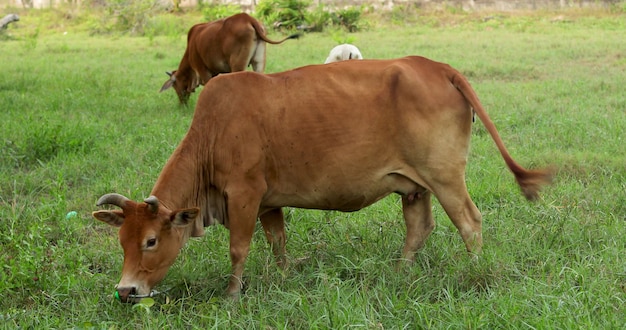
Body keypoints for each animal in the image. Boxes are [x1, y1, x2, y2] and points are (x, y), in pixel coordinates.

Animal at [94, 56, 552, 302]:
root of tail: (438, 67)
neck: (213, 129)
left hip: (445, 177)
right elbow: (277, 243)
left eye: (151, 241)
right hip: (415, 185)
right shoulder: (269, 202)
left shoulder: (244, 194)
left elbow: (239, 248)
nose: (126, 291)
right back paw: (400, 273)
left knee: (469, 223)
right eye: (122, 242)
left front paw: (231, 296)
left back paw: (475, 272)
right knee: (419, 227)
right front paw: (282, 278)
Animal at [160, 12, 298, 104]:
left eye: (175, 85)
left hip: (238, 65)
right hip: (259, 62)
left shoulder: (203, 70)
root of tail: (248, 18)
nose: (182, 103)